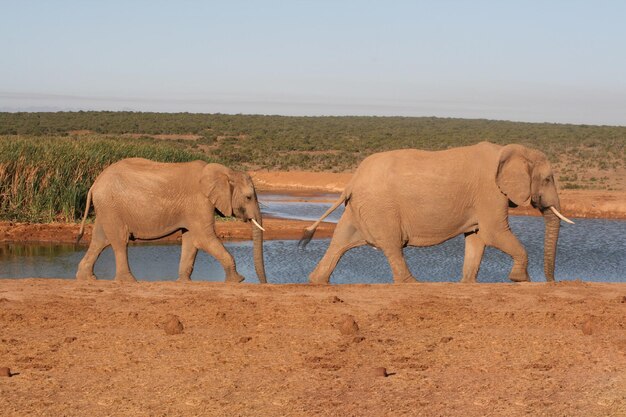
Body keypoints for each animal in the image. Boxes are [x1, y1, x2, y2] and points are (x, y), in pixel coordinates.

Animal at [75, 158, 266, 282]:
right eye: (248, 197)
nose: (264, 283)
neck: (226, 171)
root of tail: (95, 183)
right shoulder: (199, 201)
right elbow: (204, 238)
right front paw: (238, 280)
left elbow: (191, 240)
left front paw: (183, 282)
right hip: (111, 205)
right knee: (120, 241)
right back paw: (129, 281)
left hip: (107, 207)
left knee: (100, 240)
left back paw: (88, 278)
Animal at [300, 142, 572, 282]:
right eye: (547, 179)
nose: (552, 282)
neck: (508, 150)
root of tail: (352, 181)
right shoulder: (490, 192)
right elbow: (495, 232)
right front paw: (520, 279)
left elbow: (477, 238)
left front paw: (467, 283)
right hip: (380, 207)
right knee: (392, 244)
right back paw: (413, 284)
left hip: (362, 207)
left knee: (340, 240)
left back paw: (316, 281)